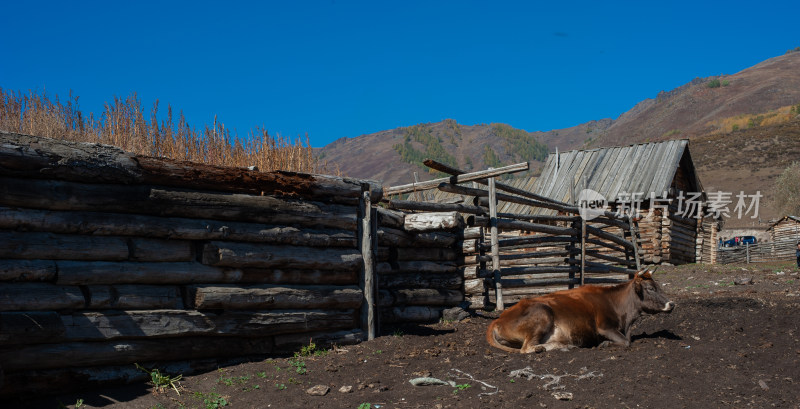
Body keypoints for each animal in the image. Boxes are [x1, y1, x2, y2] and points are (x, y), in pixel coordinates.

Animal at [488, 270, 676, 352]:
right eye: (650, 288)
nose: (672, 303)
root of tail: (497, 319)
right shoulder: (604, 327)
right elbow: (625, 342)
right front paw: (605, 344)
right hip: (542, 313)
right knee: (526, 348)